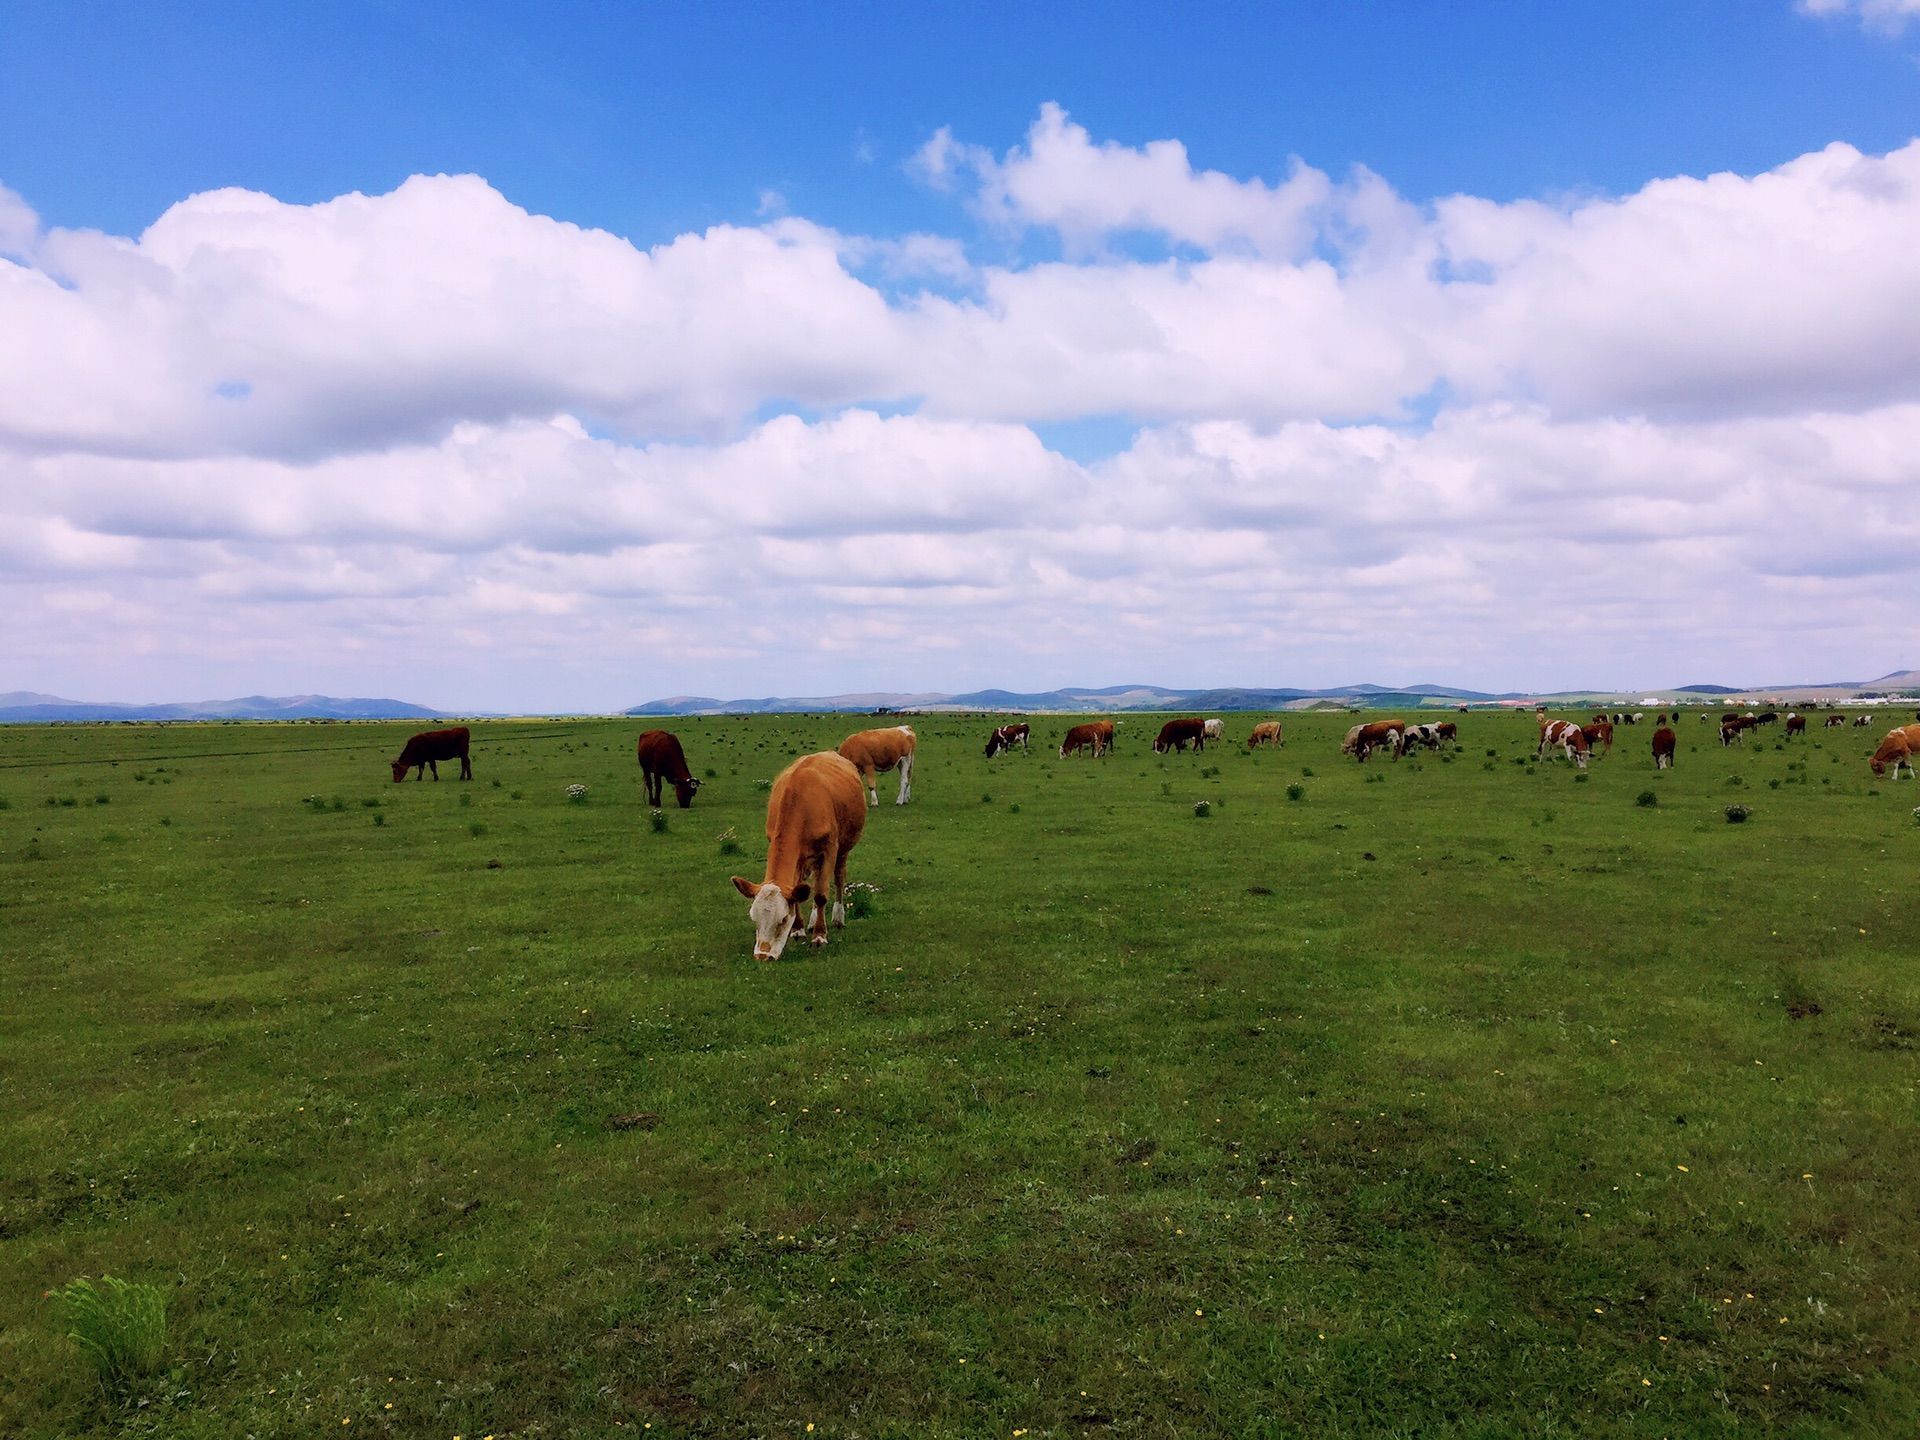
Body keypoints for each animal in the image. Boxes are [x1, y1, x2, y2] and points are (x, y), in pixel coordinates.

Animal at [729, 748, 867, 963]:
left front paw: (820, 936)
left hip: (844, 847)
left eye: (783, 919)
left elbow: (820, 894)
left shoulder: (829, 849)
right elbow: (798, 892)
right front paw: (798, 929)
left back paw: (838, 918)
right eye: (754, 919)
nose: (762, 956)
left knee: (838, 877)